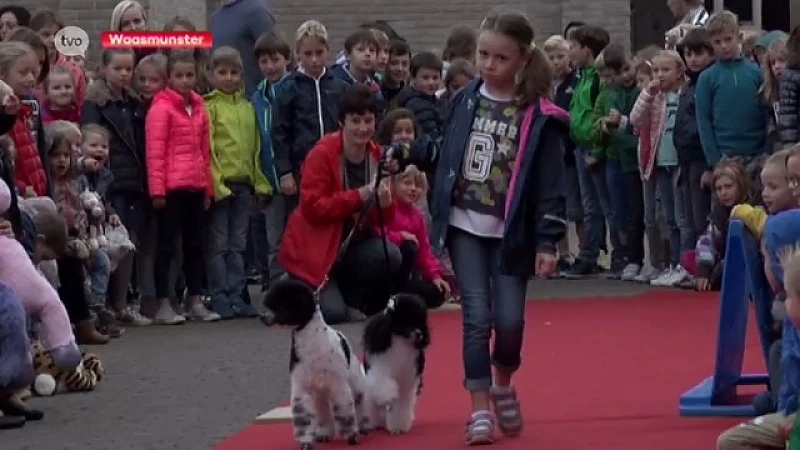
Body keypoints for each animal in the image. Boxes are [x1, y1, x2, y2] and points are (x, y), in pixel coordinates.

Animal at [264, 280, 368, 448]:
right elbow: (303, 417)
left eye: (283, 302)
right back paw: (324, 434)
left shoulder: (338, 386)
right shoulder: (303, 388)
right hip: (320, 393)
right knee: (323, 412)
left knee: (359, 402)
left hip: (353, 381)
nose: (263, 316)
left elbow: (345, 413)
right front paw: (306, 443)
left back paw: (364, 426)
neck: (313, 343)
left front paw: (352, 436)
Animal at [360, 294, 428, 434]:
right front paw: (389, 396)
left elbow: (401, 405)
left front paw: (398, 427)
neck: (400, 343)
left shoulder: (406, 382)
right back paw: (370, 423)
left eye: (420, 321)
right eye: (405, 320)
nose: (419, 334)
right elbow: (384, 385)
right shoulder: (380, 370)